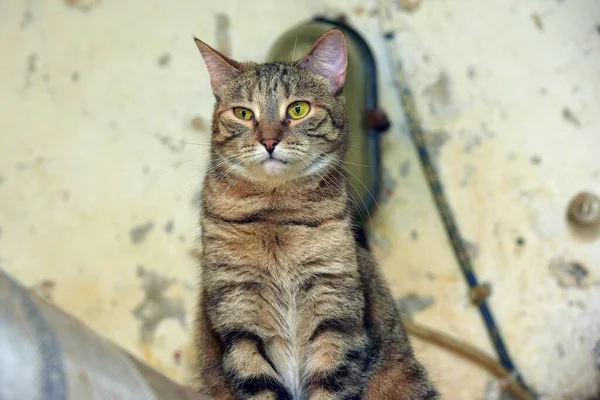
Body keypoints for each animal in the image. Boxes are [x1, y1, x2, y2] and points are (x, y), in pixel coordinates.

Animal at [195, 28, 438, 400]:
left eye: (298, 109)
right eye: (243, 113)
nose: (269, 141)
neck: (275, 214)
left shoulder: (335, 315)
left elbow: (329, 383)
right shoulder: (239, 321)